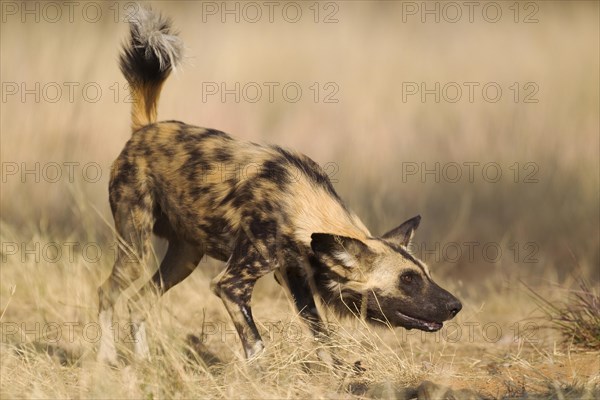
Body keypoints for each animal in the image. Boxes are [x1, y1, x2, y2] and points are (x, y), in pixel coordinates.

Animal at [98, 7, 464, 364]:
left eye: (425, 273)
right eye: (408, 280)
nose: (456, 306)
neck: (299, 203)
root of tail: (146, 129)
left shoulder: (297, 280)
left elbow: (324, 340)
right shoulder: (231, 284)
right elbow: (257, 347)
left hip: (185, 258)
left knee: (139, 302)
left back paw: (143, 362)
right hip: (135, 251)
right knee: (107, 293)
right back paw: (108, 360)